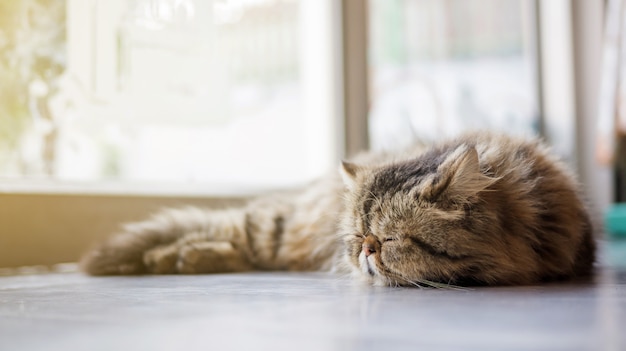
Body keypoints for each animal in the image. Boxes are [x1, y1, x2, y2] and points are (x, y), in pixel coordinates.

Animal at [81, 133, 596, 288]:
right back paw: (165, 258)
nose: (365, 249)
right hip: (277, 228)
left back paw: (179, 259)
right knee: (234, 230)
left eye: (388, 239)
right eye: (357, 236)